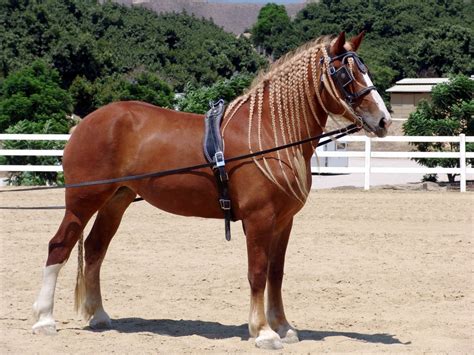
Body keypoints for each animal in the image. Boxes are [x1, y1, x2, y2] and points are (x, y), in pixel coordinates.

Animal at [31, 32, 390, 350]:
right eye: (345, 73)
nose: (383, 121)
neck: (266, 135)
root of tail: (86, 122)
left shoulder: (283, 222)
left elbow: (276, 273)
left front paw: (284, 327)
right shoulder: (259, 220)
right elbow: (258, 272)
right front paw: (263, 332)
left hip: (116, 201)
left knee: (94, 250)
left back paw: (100, 316)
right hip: (83, 201)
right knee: (60, 246)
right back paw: (44, 320)